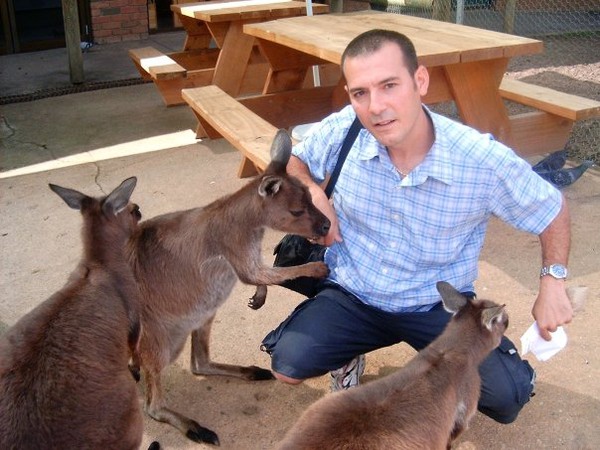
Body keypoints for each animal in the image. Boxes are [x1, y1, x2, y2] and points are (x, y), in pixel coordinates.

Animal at [0, 177, 153, 450]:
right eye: (133, 211)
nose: (140, 210)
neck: (98, 264)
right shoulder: (134, 318)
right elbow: (134, 348)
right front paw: (135, 369)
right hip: (128, 419)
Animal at [125, 129, 331, 445]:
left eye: (311, 197)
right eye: (297, 211)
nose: (326, 225)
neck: (247, 221)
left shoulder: (249, 253)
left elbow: (262, 277)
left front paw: (258, 299)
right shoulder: (235, 247)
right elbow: (266, 274)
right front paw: (317, 268)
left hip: (203, 315)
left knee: (199, 363)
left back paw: (252, 373)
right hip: (159, 337)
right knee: (153, 406)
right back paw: (196, 428)